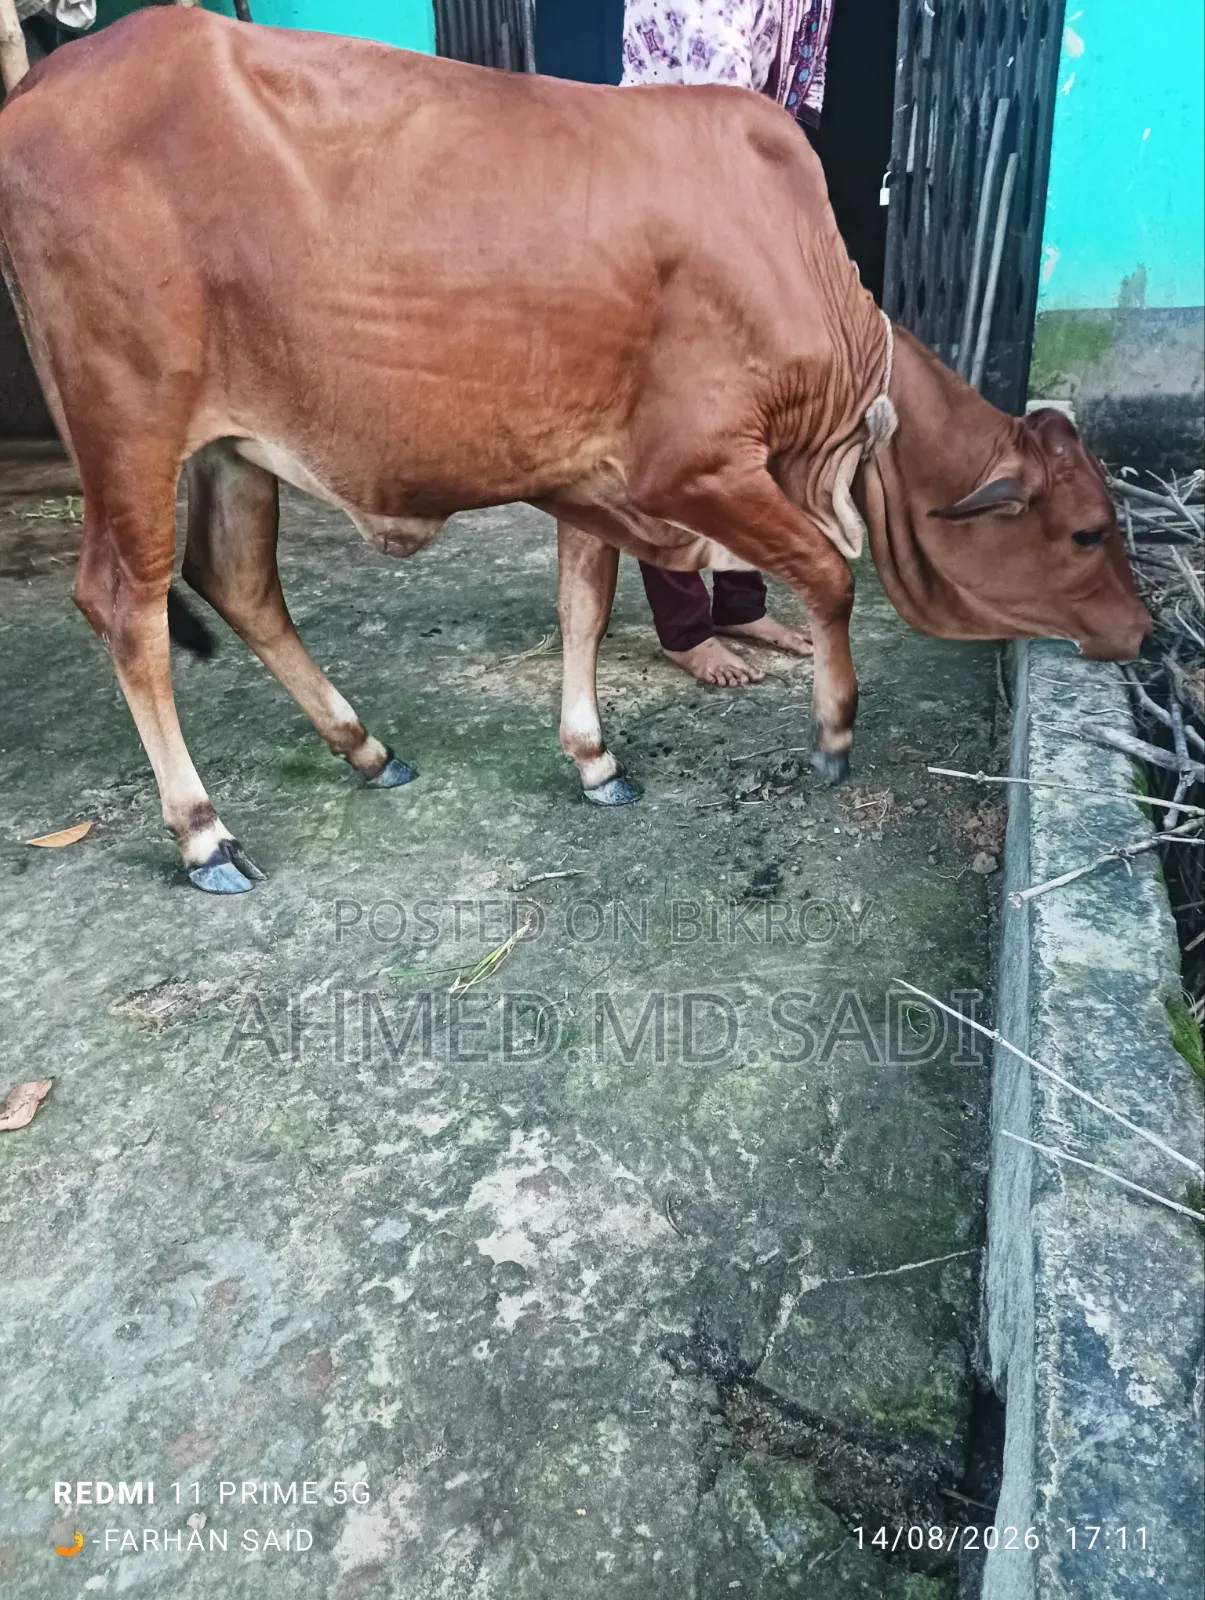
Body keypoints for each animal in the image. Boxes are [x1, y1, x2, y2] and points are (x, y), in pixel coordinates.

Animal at [0, 10, 1149, 892]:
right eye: (1087, 532)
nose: (1141, 633)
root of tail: (47, 79)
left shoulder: (594, 480)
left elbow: (583, 609)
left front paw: (593, 759)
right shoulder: (693, 466)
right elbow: (828, 573)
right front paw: (829, 735)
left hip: (233, 448)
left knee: (236, 581)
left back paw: (365, 749)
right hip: (129, 426)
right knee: (127, 604)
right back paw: (203, 832)